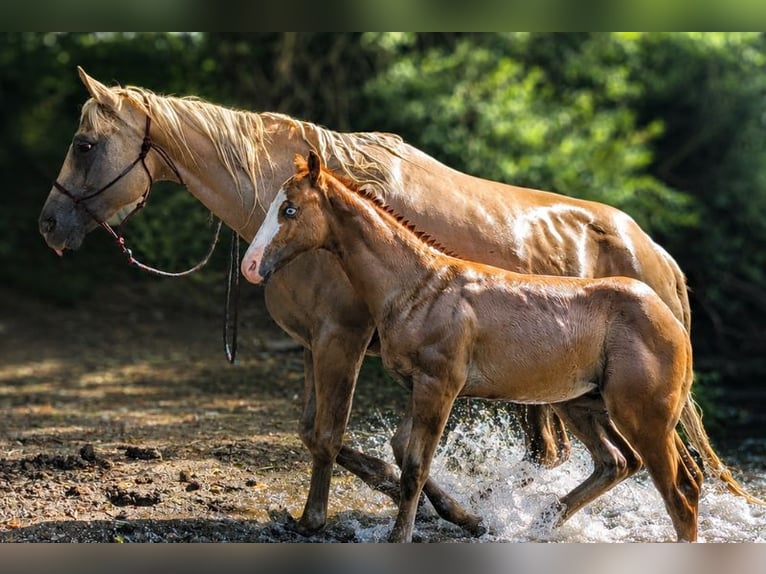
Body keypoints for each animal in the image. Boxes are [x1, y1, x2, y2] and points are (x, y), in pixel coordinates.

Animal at [40, 66, 702, 535]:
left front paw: (321, 518)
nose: (49, 225)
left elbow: (334, 436)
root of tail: (658, 258)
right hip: (577, 397)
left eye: (83, 144)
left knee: (671, 476)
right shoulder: (315, 343)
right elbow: (329, 436)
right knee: (626, 465)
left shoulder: (343, 339)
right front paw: (456, 512)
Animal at [242, 152, 764, 542]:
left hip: (643, 414)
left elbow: (415, 465)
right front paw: (467, 519)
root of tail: (671, 314)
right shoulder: (417, 384)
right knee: (621, 463)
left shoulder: (440, 385)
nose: (250, 265)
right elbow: (402, 450)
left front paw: (402, 535)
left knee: (680, 492)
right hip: (585, 404)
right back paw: (539, 523)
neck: (419, 285)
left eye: (289, 210)